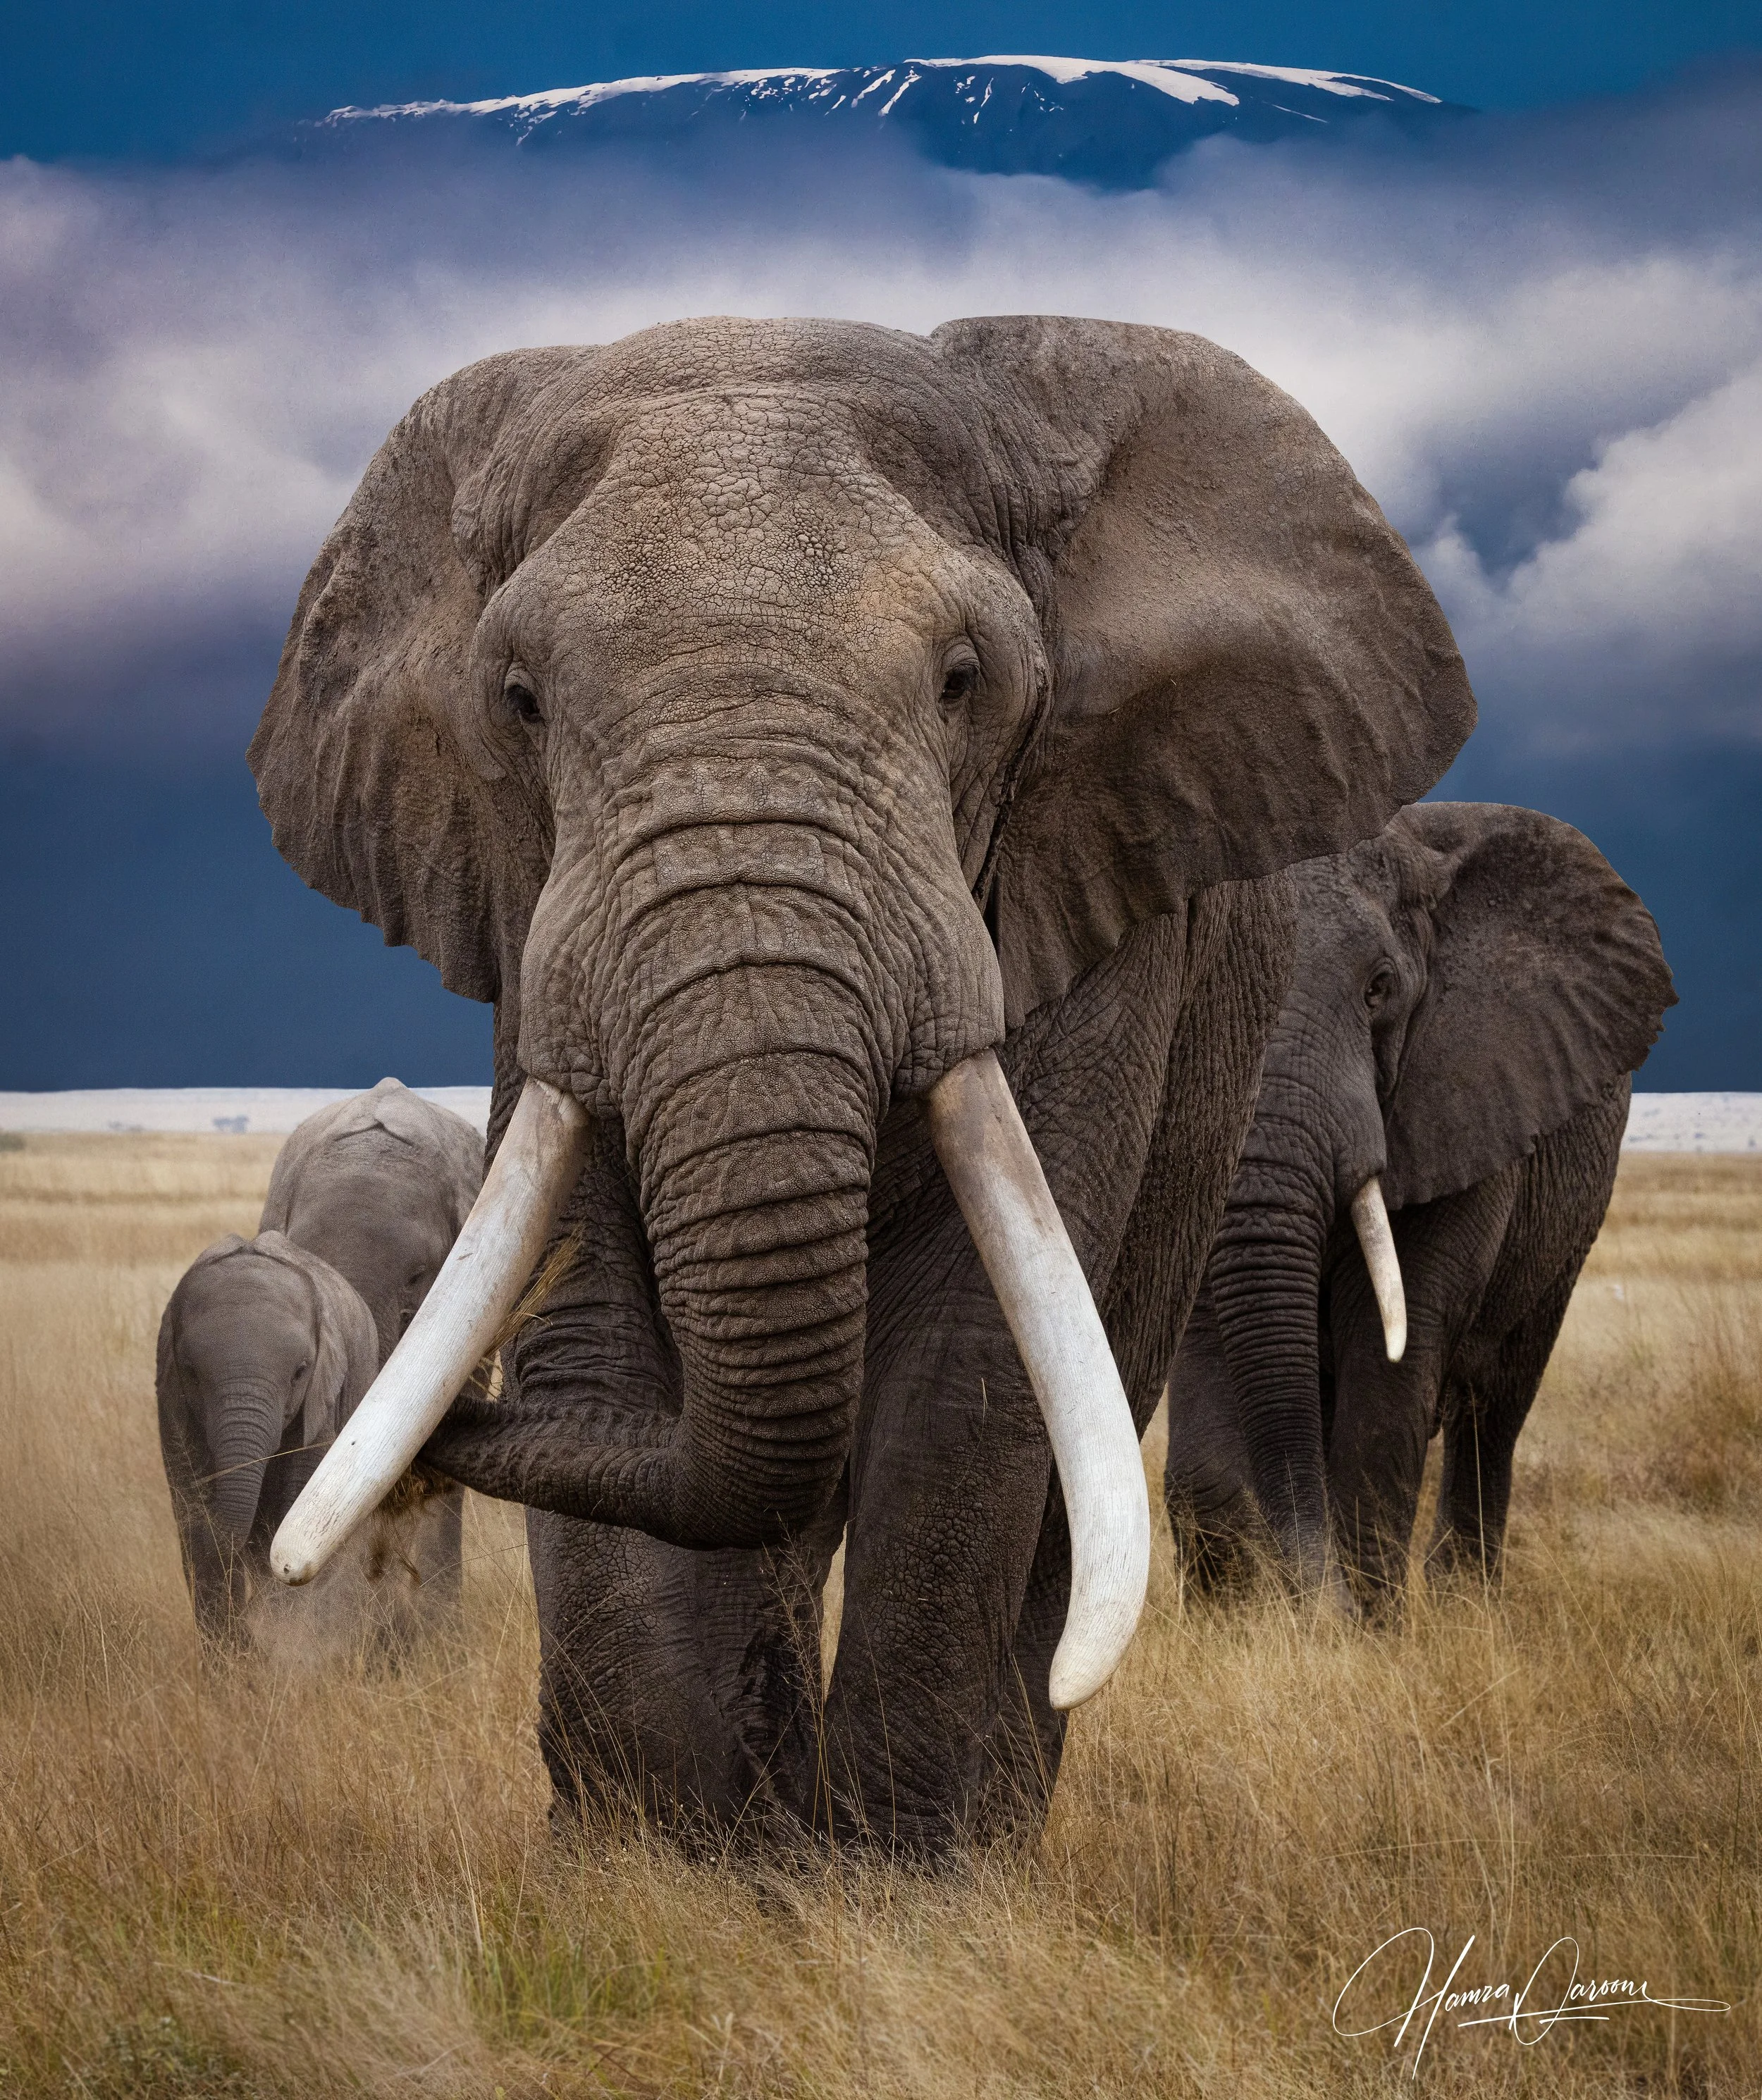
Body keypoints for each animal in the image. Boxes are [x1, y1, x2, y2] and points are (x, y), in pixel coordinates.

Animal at [157, 1231, 461, 1653]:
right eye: (191, 1373)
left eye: (301, 1372)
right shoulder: (173, 1410)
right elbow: (192, 1518)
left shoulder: (322, 1408)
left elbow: (290, 1509)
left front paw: (282, 1643)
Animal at [248, 314, 1474, 1853]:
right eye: (517, 703)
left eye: (962, 681)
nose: (438, 1429)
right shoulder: (537, 930)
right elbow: (604, 1325)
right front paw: (664, 1858)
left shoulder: (1082, 889)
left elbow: (973, 1364)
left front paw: (894, 1874)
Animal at [1164, 802, 1675, 1612]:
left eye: (1379, 987)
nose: (1317, 1605)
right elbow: (1207, 1402)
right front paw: (1244, 1620)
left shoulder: (1469, 1100)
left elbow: (1384, 1381)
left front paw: (1362, 1626)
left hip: (1571, 1222)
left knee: (1495, 1406)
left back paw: (1466, 1601)